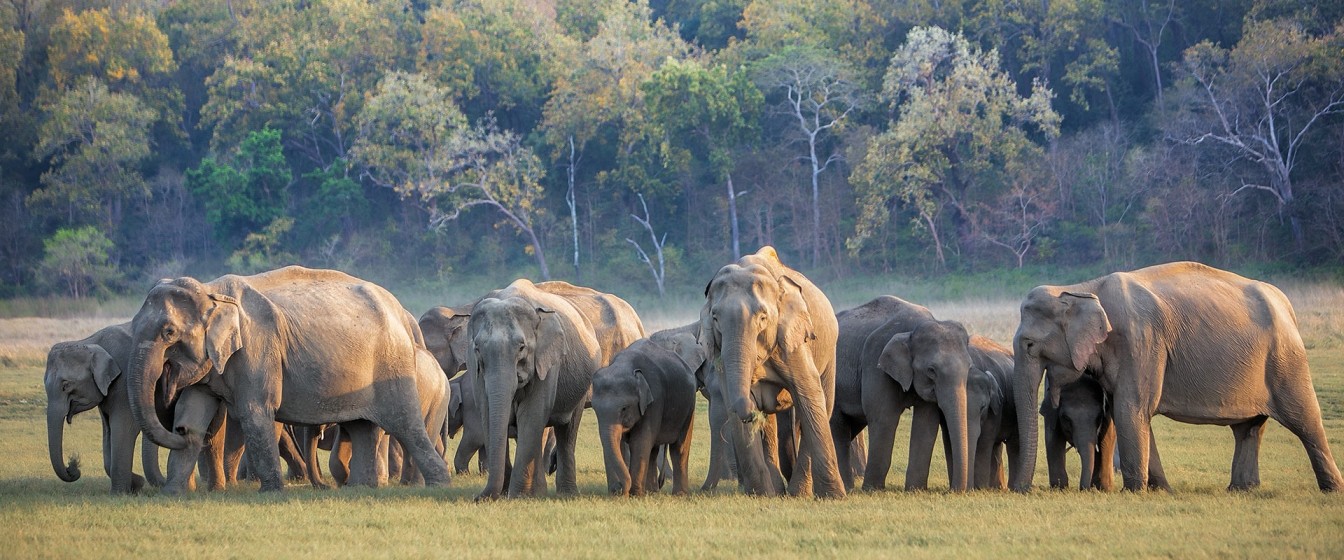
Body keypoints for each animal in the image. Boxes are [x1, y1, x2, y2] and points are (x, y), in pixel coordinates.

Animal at [122, 265, 446, 488]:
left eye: (169, 333)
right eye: (133, 326)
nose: (177, 432)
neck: (211, 291)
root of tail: (400, 311)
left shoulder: (258, 347)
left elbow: (255, 412)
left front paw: (272, 492)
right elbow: (194, 413)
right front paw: (172, 493)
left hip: (393, 363)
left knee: (405, 423)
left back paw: (438, 483)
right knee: (362, 427)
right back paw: (361, 488)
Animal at [467, 276, 645, 499]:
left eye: (521, 347)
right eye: (477, 348)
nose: (478, 498)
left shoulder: (549, 362)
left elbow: (531, 414)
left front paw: (517, 496)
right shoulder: (476, 369)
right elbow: (487, 412)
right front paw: (510, 494)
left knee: (567, 430)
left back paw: (567, 493)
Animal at [594, 335, 698, 494]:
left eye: (624, 408)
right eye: (595, 409)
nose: (619, 489)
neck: (625, 365)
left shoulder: (655, 398)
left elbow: (640, 440)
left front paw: (635, 494)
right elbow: (621, 442)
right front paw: (621, 493)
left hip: (689, 405)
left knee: (679, 448)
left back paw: (679, 494)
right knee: (653, 451)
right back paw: (651, 491)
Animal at [698, 245, 844, 496]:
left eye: (763, 317)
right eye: (715, 318)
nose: (751, 412)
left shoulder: (793, 340)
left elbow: (809, 395)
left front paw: (834, 497)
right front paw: (762, 494)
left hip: (829, 350)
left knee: (823, 403)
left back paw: (799, 492)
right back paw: (777, 489)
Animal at [1010, 259, 1344, 491]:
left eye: (1029, 344)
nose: (1022, 490)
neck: (1084, 287)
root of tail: (1287, 305)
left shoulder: (1140, 342)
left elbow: (1132, 409)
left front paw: (1134, 491)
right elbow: (1129, 411)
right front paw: (1160, 490)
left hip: (1287, 360)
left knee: (1305, 419)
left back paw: (1331, 490)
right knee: (1248, 428)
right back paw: (1242, 489)